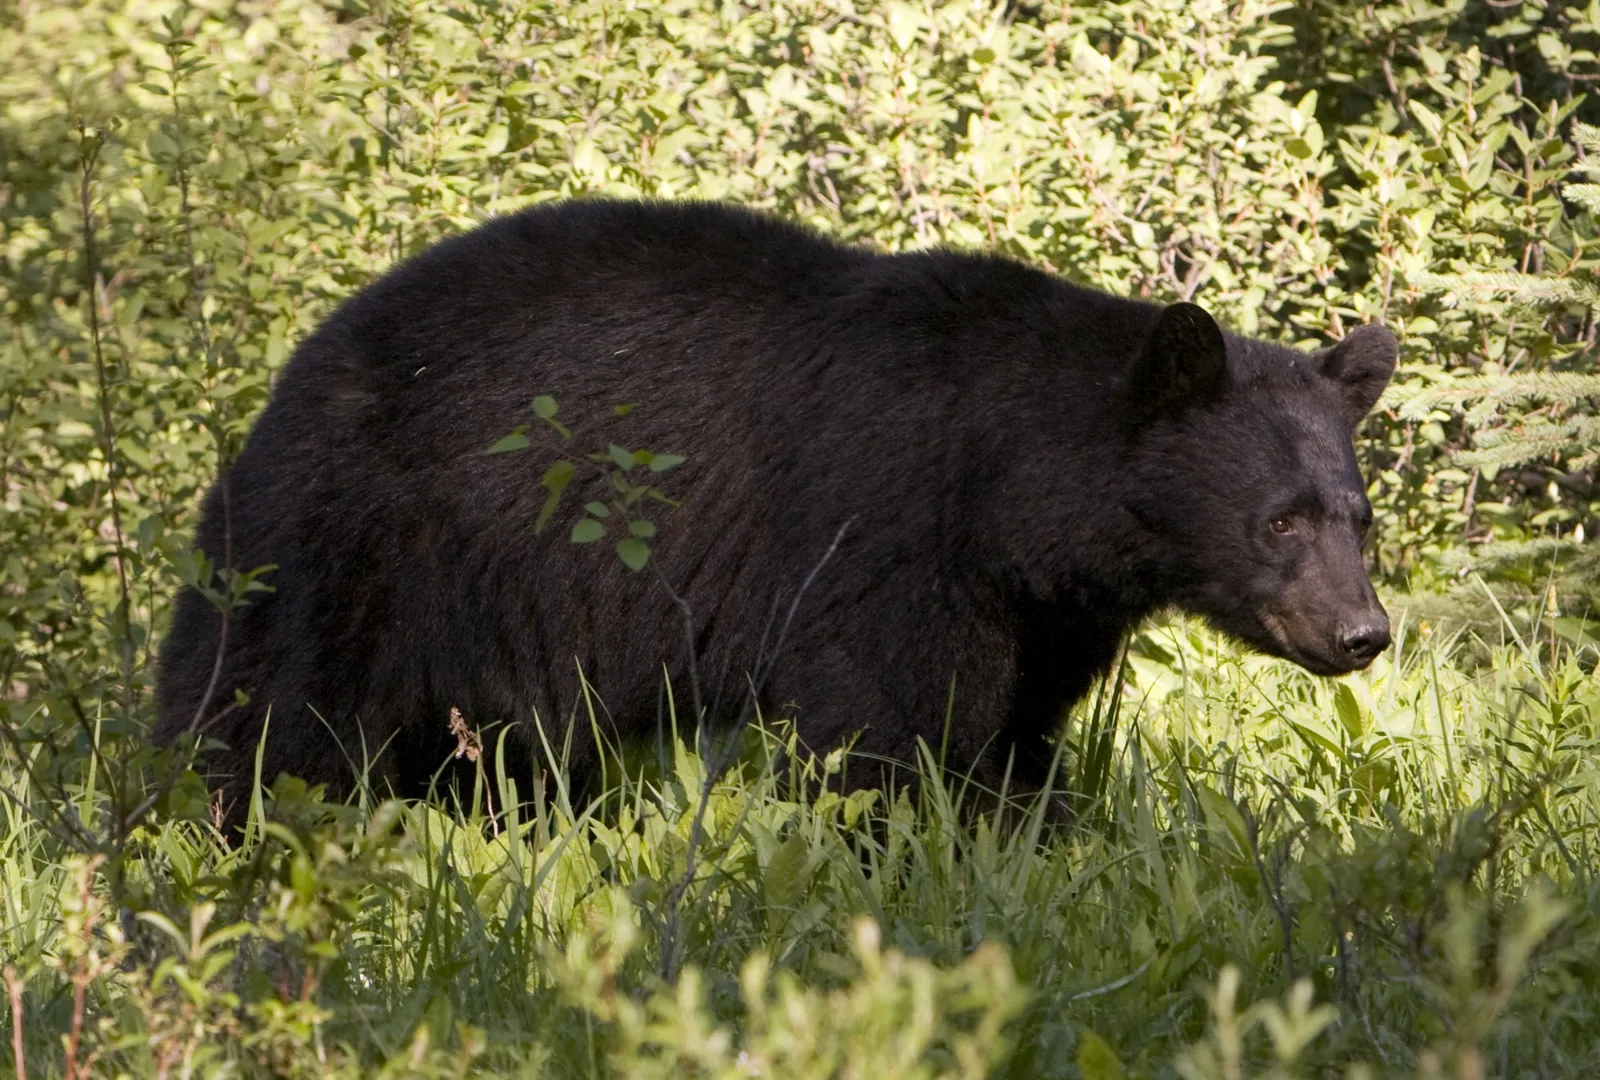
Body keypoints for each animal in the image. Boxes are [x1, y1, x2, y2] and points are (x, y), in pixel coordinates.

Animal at [155, 199, 1397, 824]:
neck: (1012, 484)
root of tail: (291, 376)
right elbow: (887, 731)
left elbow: (1011, 737)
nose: (1362, 633)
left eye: (1357, 516)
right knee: (269, 712)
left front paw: (1031, 832)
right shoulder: (884, 537)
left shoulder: (1044, 611)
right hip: (355, 543)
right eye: (1279, 520)